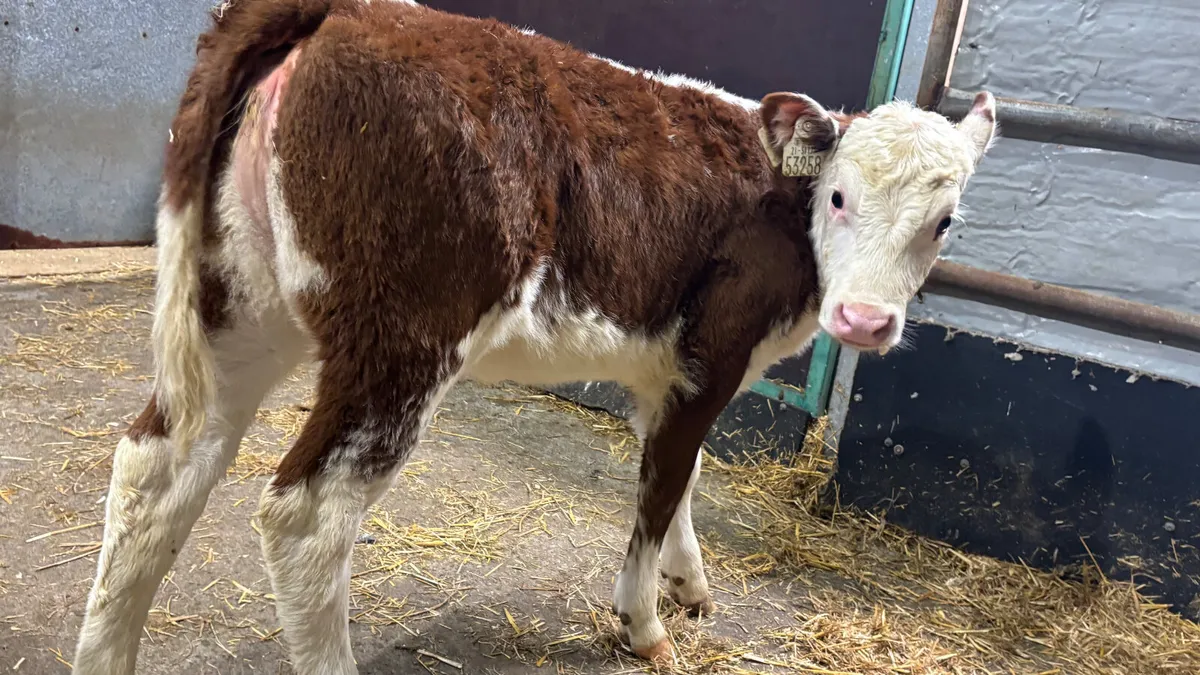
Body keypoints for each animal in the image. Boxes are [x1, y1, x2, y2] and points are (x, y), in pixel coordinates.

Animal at [71, 0, 997, 672]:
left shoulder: (668, 370)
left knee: (157, 466)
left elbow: (682, 476)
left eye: (944, 221)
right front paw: (644, 622)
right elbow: (660, 489)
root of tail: (344, 11)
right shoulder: (714, 355)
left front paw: (689, 581)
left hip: (237, 307)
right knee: (307, 516)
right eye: (838, 197)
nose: (864, 321)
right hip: (403, 338)